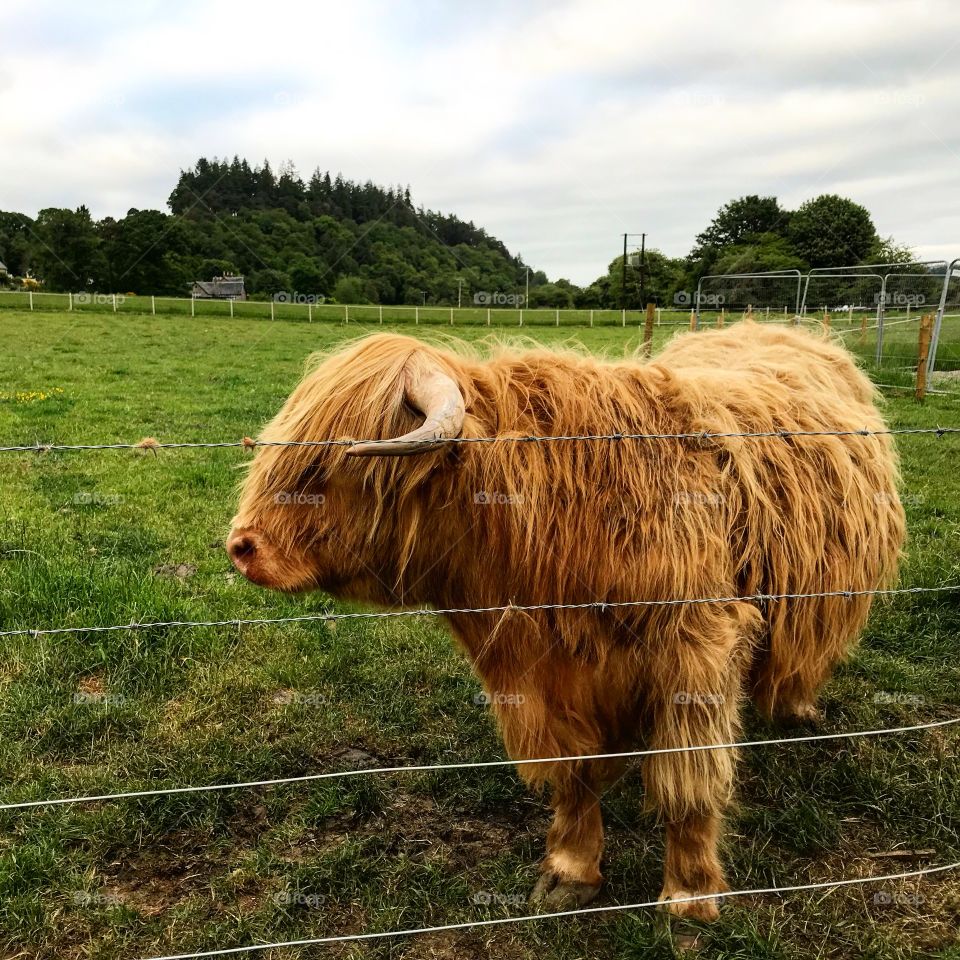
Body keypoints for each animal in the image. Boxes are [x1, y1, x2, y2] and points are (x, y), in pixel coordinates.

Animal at [229, 324, 904, 924]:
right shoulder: (537, 674)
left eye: (332, 465)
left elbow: (689, 780)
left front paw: (689, 896)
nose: (241, 546)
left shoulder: (699, 646)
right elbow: (572, 771)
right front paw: (572, 869)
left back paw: (796, 709)